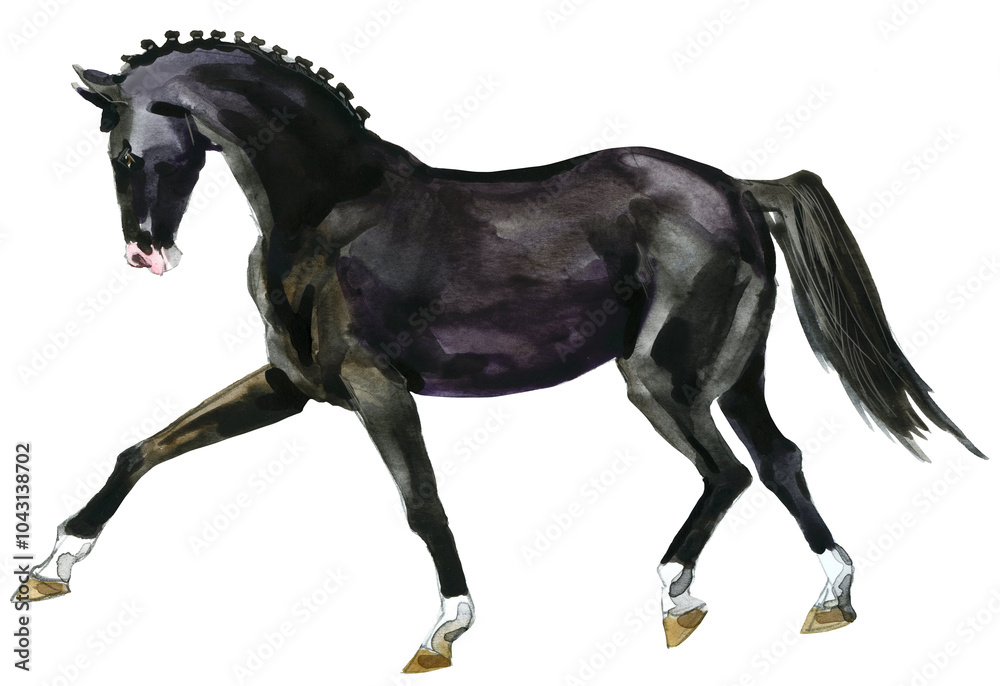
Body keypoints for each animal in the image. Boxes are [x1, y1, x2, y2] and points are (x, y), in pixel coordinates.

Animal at [14, 29, 985, 672]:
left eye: (127, 150)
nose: (145, 252)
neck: (328, 214)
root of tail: (742, 191)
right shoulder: (290, 386)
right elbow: (145, 449)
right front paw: (51, 567)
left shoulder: (376, 388)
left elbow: (423, 505)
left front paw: (444, 631)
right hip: (732, 375)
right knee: (779, 461)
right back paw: (830, 600)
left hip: (661, 380)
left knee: (730, 473)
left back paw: (679, 597)